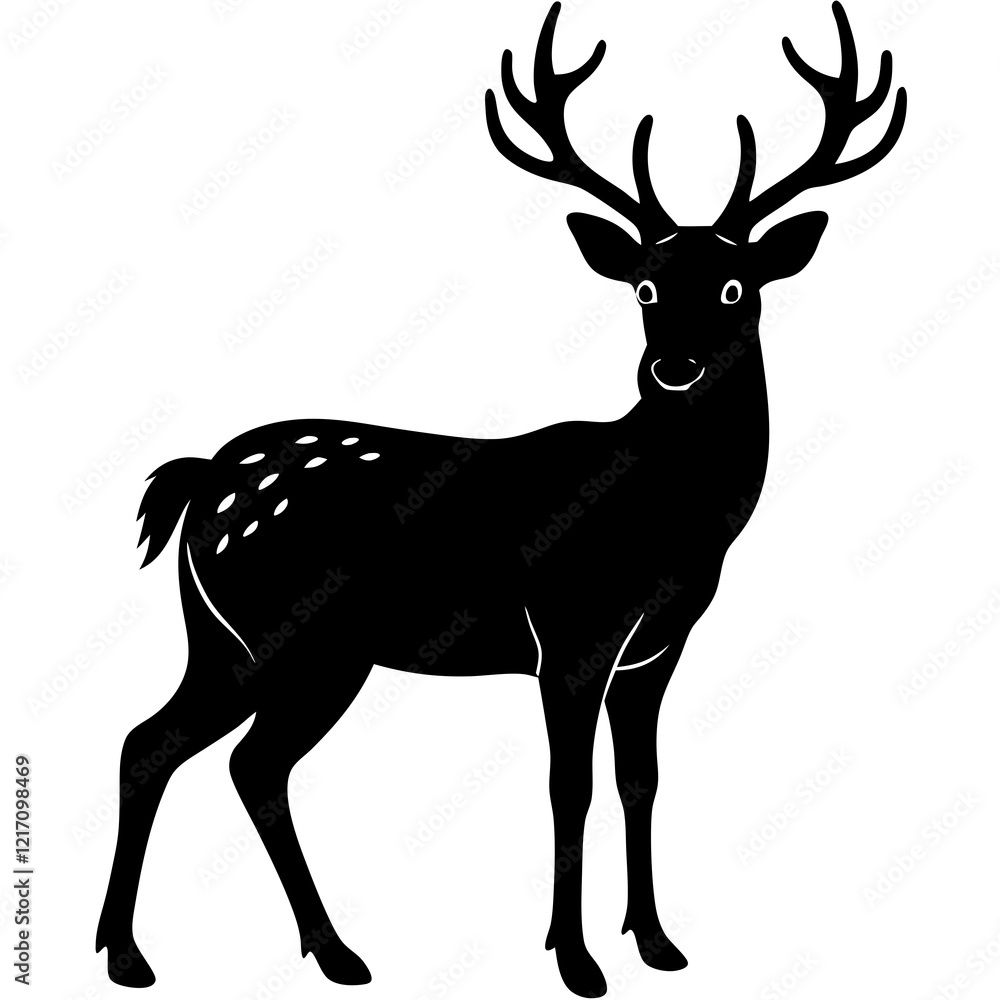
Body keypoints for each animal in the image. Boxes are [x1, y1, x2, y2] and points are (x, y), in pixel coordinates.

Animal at [96, 3, 905, 995]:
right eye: (644, 285)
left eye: (733, 284)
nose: (673, 367)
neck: (671, 521)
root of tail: (201, 475)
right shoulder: (572, 629)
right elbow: (570, 785)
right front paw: (577, 960)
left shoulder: (658, 646)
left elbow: (642, 779)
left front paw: (658, 942)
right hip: (288, 637)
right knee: (196, 752)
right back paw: (163, 953)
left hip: (244, 643)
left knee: (203, 754)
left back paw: (284, 951)